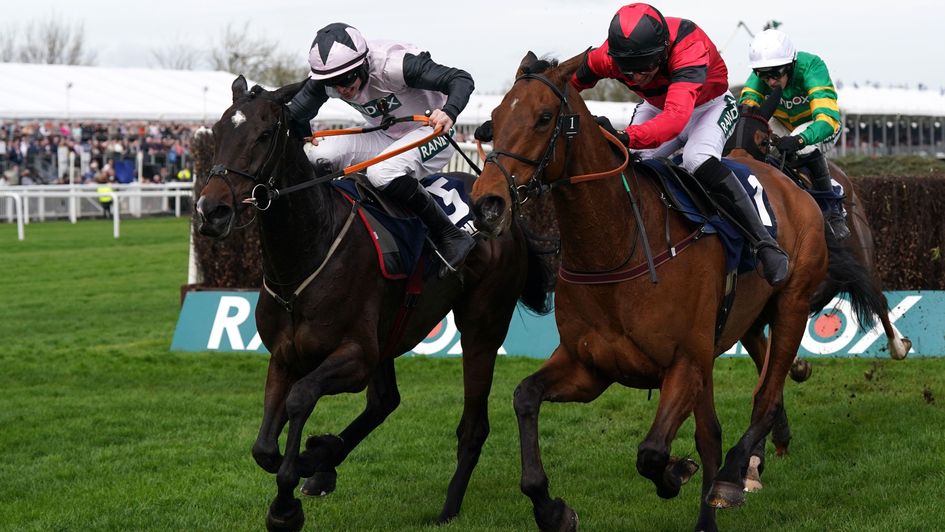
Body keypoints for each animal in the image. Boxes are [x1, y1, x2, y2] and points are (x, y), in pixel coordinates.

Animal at [197, 77, 552, 528]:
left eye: (263, 135)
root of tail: (502, 209)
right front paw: (315, 461)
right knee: (385, 401)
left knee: (473, 424)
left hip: (482, 325)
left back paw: (449, 507)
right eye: (219, 132)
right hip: (391, 332)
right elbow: (263, 448)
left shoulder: (356, 356)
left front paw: (286, 502)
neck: (309, 252)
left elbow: (300, 398)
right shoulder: (284, 355)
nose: (211, 211)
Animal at [468, 51, 872, 532]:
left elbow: (653, 451)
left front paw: (678, 474)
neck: (616, 246)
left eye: (544, 118)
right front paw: (552, 509)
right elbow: (525, 396)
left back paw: (733, 474)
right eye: (493, 118)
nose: (487, 204)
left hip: (790, 305)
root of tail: (787, 180)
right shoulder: (590, 367)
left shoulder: (685, 361)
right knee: (721, 421)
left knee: (766, 398)